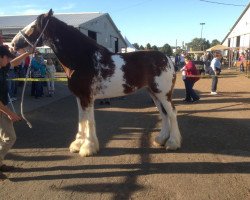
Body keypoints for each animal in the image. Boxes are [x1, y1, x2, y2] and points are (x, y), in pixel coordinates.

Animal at [11, 9, 181, 156]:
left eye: (33, 27)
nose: (12, 44)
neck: (83, 59)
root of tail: (167, 58)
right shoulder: (79, 97)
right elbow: (81, 120)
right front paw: (78, 144)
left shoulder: (87, 98)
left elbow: (89, 121)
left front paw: (88, 148)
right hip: (153, 93)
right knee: (163, 113)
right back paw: (161, 139)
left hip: (163, 93)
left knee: (172, 113)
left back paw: (172, 143)